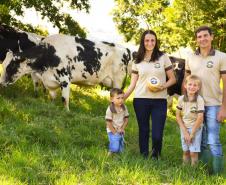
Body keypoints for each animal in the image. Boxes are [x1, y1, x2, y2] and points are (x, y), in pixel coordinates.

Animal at [0, 33, 134, 110]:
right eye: (4, 65)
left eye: (9, 67)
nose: (1, 83)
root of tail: (125, 49)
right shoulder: (49, 81)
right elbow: (52, 98)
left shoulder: (65, 79)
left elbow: (64, 100)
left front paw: (66, 113)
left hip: (118, 81)